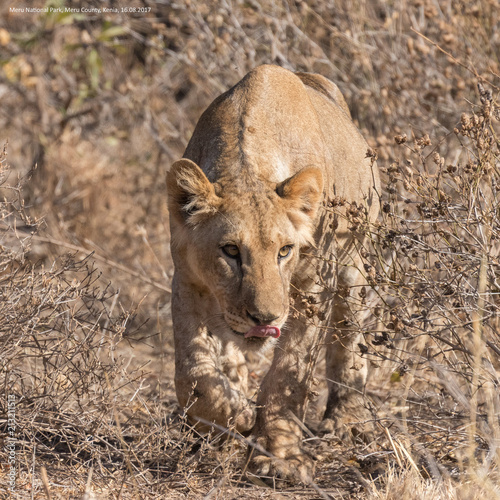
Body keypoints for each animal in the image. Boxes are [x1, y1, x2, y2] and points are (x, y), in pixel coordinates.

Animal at [166, 64, 380, 482]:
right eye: (231, 251)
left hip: (354, 264)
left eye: (284, 251)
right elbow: (193, 374)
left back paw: (345, 420)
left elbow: (288, 375)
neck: (250, 166)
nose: (264, 318)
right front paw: (233, 418)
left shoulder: (313, 286)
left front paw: (279, 458)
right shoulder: (186, 278)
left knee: (349, 338)